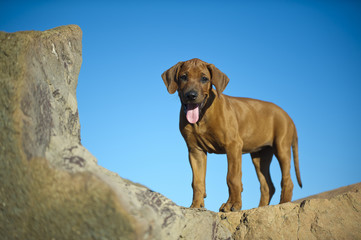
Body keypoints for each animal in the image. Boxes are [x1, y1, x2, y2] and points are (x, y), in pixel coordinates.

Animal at [161, 58, 300, 212]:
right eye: (183, 77)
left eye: (204, 79)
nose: (191, 95)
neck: (202, 117)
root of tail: (288, 116)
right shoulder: (195, 151)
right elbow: (197, 181)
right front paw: (196, 205)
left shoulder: (233, 146)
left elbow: (232, 178)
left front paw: (233, 205)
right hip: (260, 155)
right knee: (267, 186)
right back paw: (261, 207)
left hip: (282, 147)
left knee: (287, 180)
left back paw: (284, 204)